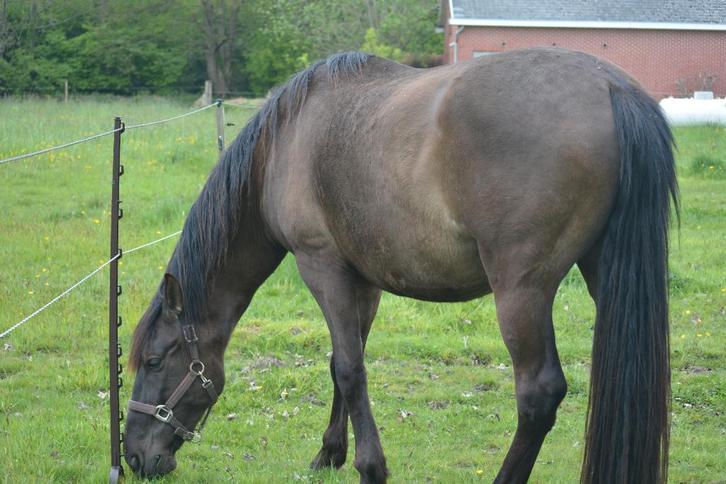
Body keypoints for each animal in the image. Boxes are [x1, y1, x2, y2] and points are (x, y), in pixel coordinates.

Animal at [124, 48, 678, 483]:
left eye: (153, 361)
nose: (133, 458)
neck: (282, 145)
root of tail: (610, 86)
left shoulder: (321, 267)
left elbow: (350, 370)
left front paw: (370, 466)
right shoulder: (362, 281)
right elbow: (342, 362)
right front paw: (329, 453)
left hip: (521, 289)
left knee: (538, 394)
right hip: (602, 272)